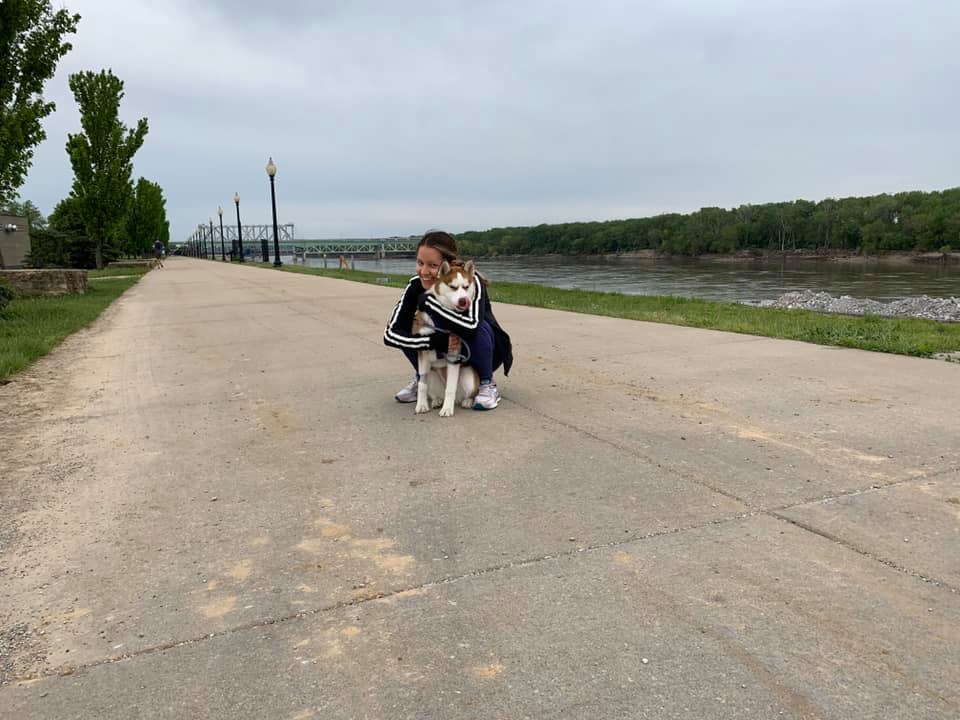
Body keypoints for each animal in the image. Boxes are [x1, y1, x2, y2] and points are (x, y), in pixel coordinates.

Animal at [412, 260, 480, 416]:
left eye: (466, 287)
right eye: (453, 287)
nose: (463, 301)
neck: (443, 316)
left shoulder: (454, 354)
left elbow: (450, 387)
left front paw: (447, 409)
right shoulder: (422, 352)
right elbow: (422, 384)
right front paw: (421, 404)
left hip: (469, 376)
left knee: (468, 393)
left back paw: (466, 401)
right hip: (432, 374)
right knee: (433, 389)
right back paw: (437, 401)